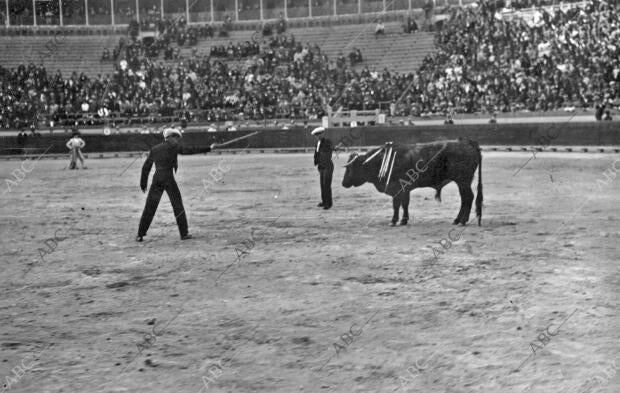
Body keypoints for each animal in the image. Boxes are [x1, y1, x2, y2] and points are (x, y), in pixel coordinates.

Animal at [342, 139, 482, 225]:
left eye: (349, 169)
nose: (343, 183)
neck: (380, 161)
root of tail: (469, 143)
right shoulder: (405, 189)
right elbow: (405, 204)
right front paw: (404, 220)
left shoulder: (397, 188)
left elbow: (396, 204)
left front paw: (394, 221)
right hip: (463, 182)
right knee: (464, 199)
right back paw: (457, 220)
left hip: (463, 180)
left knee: (468, 197)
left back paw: (462, 221)